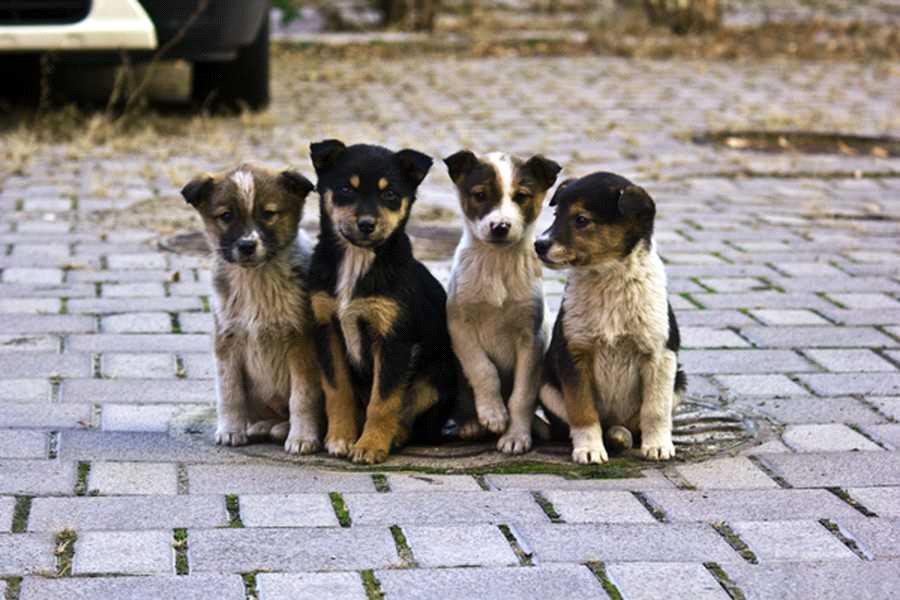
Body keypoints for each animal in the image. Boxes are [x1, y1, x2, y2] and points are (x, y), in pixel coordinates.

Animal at [182, 164, 324, 454]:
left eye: (268, 214)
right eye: (226, 216)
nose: (247, 245)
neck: (256, 281)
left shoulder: (302, 341)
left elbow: (302, 397)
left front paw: (302, 438)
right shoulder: (226, 339)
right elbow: (229, 392)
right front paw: (230, 431)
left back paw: (283, 429)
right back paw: (261, 426)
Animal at [306, 139, 458, 464]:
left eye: (389, 194)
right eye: (346, 189)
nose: (366, 224)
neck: (357, 260)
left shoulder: (394, 339)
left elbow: (384, 400)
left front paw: (370, 446)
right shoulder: (327, 328)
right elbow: (337, 390)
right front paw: (340, 438)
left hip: (435, 377)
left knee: (414, 418)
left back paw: (395, 436)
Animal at [444, 151, 564, 454]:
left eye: (521, 196)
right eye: (480, 195)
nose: (500, 227)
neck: (496, 264)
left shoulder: (531, 339)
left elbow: (521, 396)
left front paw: (516, 436)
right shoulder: (460, 327)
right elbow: (483, 369)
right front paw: (493, 414)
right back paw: (471, 424)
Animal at [532, 173, 684, 464]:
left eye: (581, 219)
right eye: (556, 214)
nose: (538, 245)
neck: (608, 278)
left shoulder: (660, 354)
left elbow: (655, 410)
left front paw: (658, 446)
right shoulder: (574, 352)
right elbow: (582, 409)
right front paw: (589, 450)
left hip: (679, 382)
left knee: (634, 424)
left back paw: (622, 435)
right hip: (546, 385)